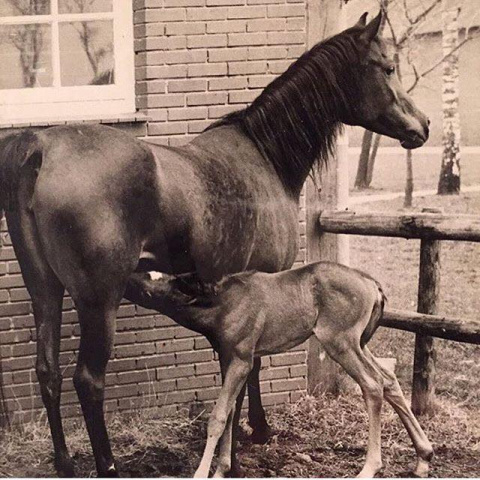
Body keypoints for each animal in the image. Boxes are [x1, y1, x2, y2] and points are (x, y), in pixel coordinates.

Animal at [125, 264, 434, 478]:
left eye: (152, 279)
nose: (127, 275)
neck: (222, 304)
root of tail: (373, 285)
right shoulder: (228, 358)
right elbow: (230, 413)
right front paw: (223, 469)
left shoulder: (241, 359)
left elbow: (219, 415)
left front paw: (203, 473)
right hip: (359, 343)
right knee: (389, 379)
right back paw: (423, 456)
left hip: (341, 342)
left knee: (372, 384)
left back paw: (370, 467)